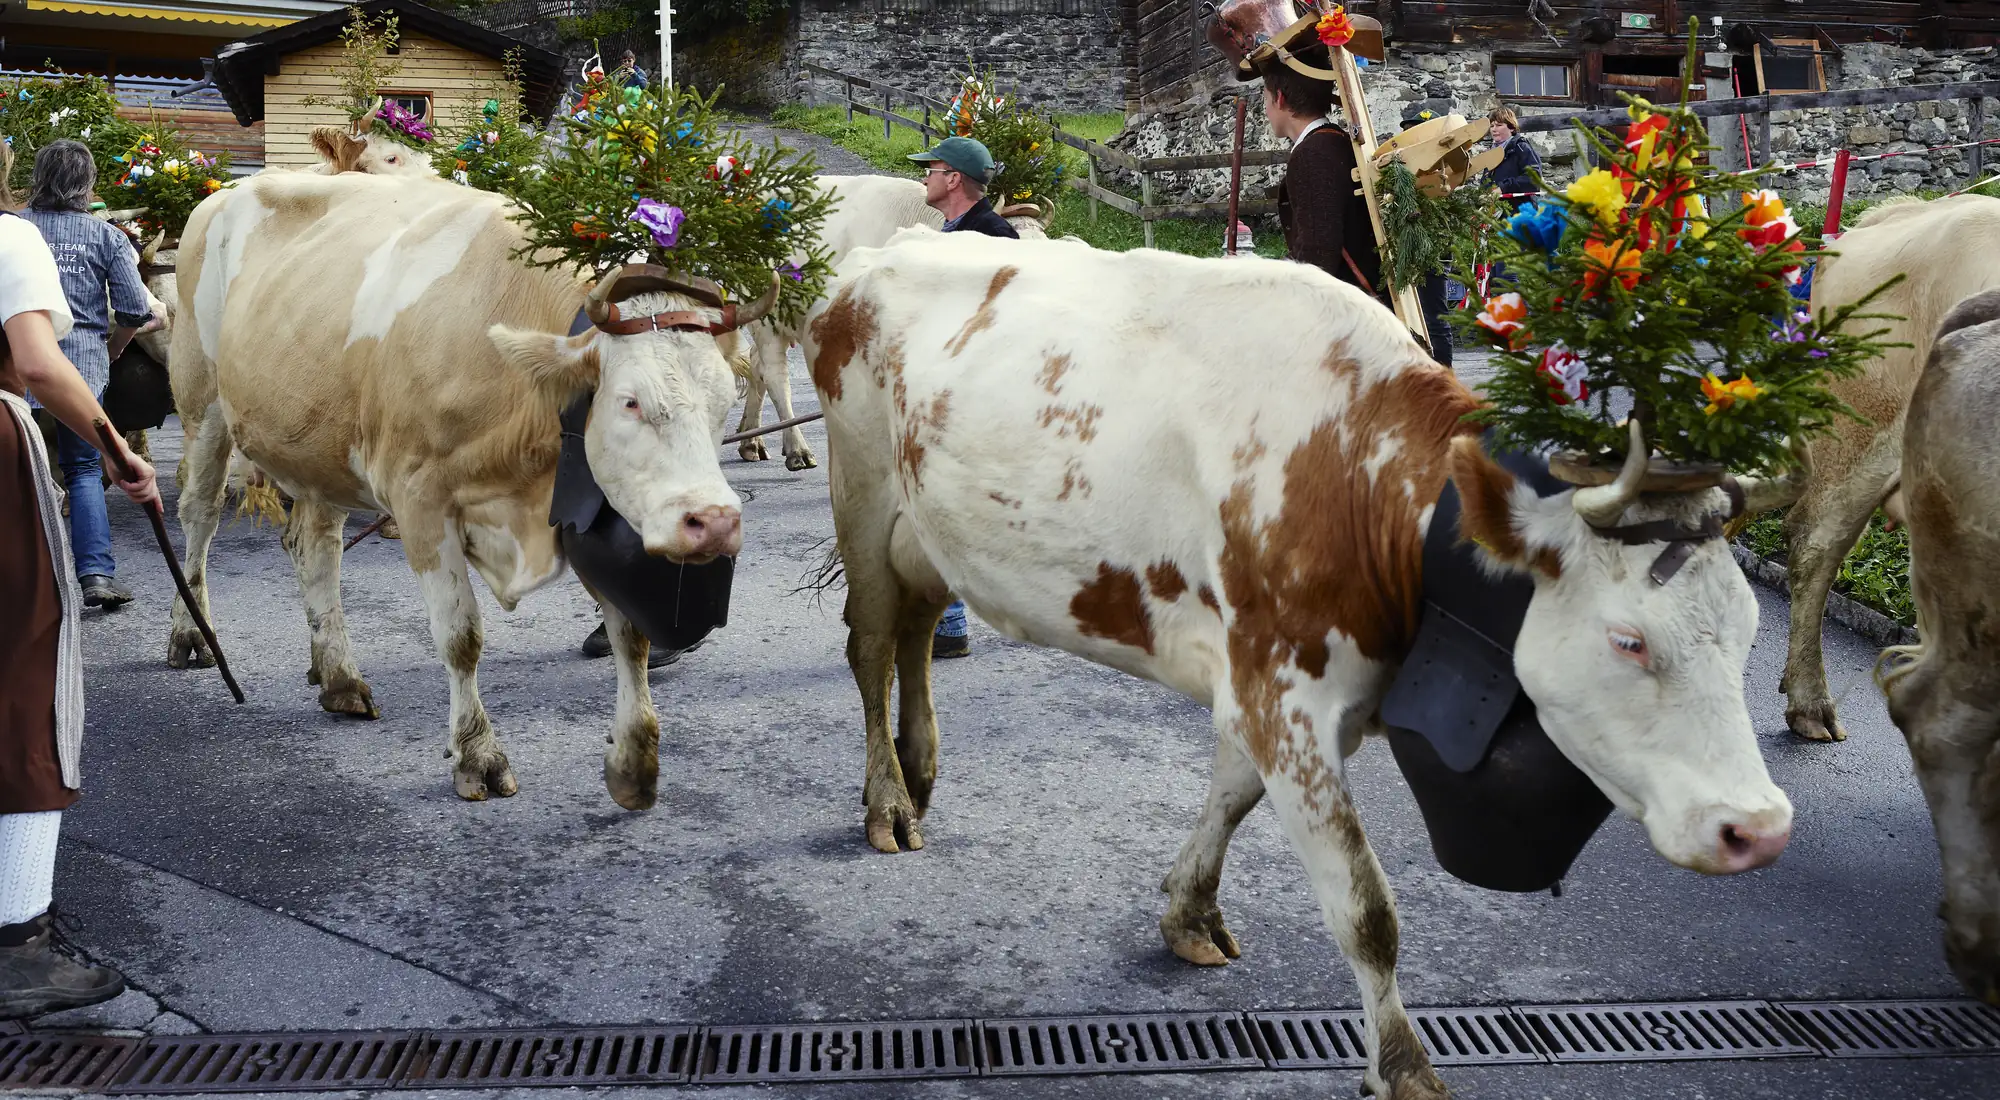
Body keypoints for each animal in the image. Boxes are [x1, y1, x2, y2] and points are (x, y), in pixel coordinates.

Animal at [167, 170, 772, 802]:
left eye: (724, 401)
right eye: (630, 401)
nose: (715, 522)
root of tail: (232, 188)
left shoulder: (585, 508)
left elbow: (631, 633)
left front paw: (634, 760)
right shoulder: (419, 499)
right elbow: (461, 636)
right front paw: (477, 754)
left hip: (321, 443)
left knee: (315, 548)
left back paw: (338, 677)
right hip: (202, 402)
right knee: (199, 515)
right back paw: (192, 634)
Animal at [804, 228, 1798, 1100]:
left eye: (1751, 630)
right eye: (1629, 639)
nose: (1759, 829)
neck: (1358, 476)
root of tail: (876, 253)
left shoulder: (1269, 687)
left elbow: (1229, 796)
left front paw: (1189, 913)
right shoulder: (1285, 695)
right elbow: (1366, 910)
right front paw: (1404, 1070)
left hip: (931, 531)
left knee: (918, 631)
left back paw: (920, 768)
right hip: (863, 494)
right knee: (871, 643)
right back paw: (888, 801)